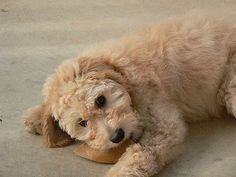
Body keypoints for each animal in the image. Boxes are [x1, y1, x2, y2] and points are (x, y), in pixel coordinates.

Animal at [22, 12, 236, 177]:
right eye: (83, 123)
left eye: (100, 100)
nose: (117, 136)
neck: (123, 71)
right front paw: (36, 117)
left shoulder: (163, 126)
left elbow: (140, 153)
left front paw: (119, 172)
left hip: (230, 88)